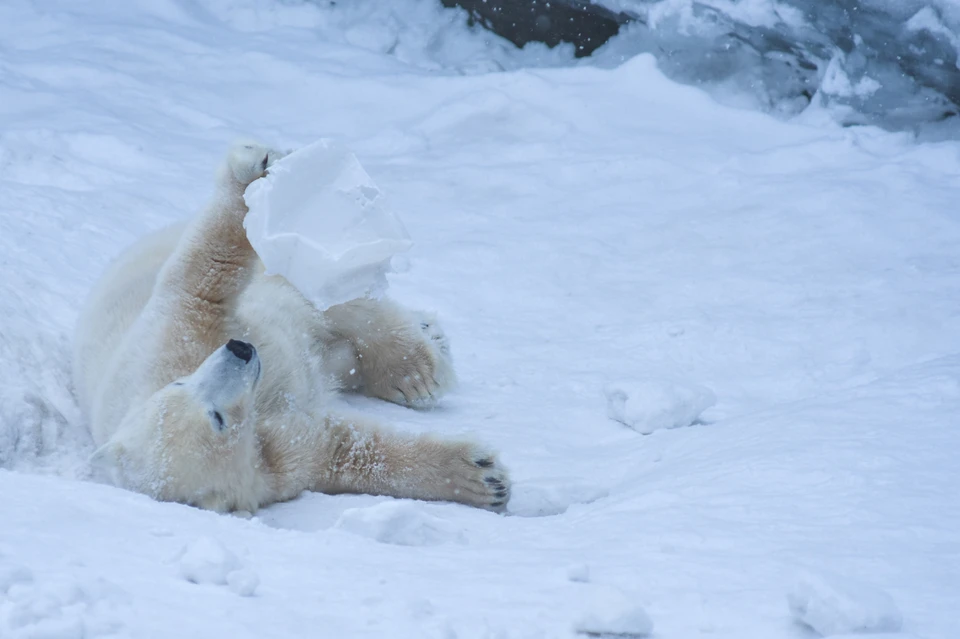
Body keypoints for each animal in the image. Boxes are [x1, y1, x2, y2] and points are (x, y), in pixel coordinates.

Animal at [73, 141, 510, 516]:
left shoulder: (173, 337)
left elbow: (203, 277)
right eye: (217, 418)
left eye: (181, 384)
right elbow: (348, 450)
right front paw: (482, 477)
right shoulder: (276, 461)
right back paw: (417, 369)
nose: (240, 350)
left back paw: (417, 361)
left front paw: (253, 163)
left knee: (326, 294)